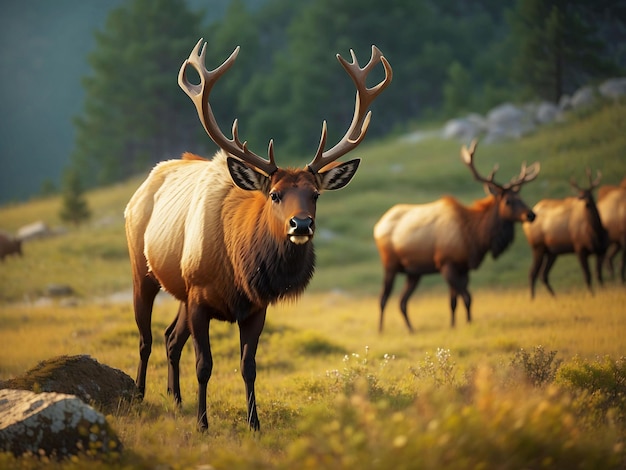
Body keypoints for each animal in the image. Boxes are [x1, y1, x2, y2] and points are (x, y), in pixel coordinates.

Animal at [123, 38, 390, 432]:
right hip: (143, 271)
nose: (301, 225)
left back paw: (176, 398)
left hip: (181, 290)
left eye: (315, 194)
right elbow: (204, 366)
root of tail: (145, 183)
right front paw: (203, 424)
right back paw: (141, 395)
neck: (238, 271)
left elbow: (248, 367)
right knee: (147, 338)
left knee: (171, 339)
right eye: (275, 194)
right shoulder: (199, 296)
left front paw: (254, 424)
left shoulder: (255, 307)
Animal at [372, 141, 540, 332]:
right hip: (390, 265)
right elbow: (467, 298)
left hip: (414, 272)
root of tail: (378, 226)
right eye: (508, 201)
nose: (531, 215)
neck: (475, 238)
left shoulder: (463, 268)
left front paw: (454, 325)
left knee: (402, 302)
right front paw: (469, 323)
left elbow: (453, 302)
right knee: (383, 298)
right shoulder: (446, 263)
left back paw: (411, 329)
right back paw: (380, 330)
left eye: (521, 196)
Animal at [520, 167, 604, 296]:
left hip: (551, 253)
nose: (581, 199)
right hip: (538, 248)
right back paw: (534, 298)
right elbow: (587, 275)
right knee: (533, 273)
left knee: (543, 274)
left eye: (590, 192)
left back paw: (554, 297)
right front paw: (592, 295)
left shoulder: (601, 251)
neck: (595, 232)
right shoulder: (580, 249)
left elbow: (599, 275)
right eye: (579, 193)